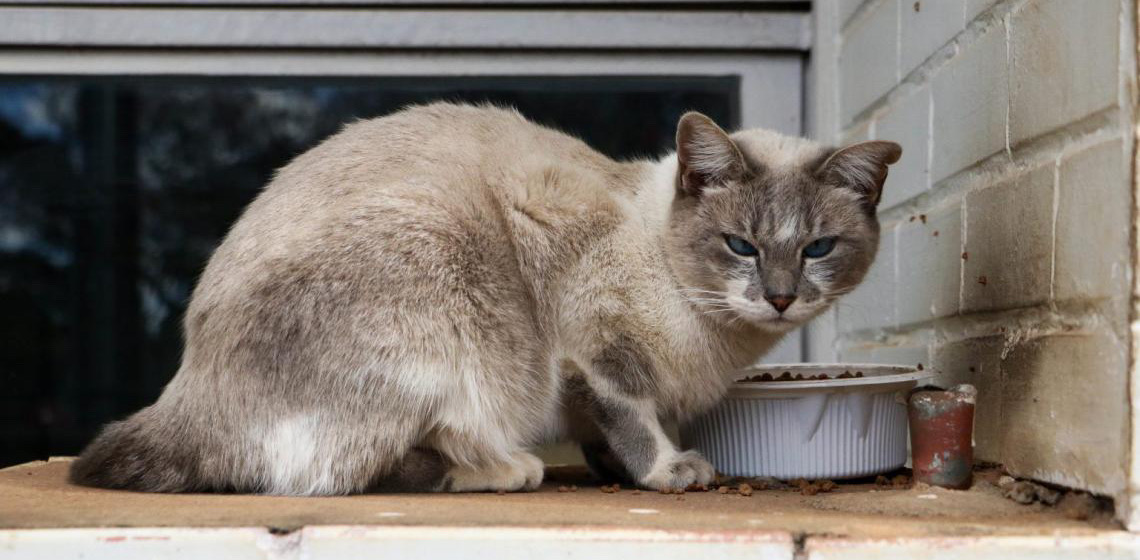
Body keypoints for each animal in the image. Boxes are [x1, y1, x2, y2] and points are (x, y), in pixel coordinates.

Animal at [68, 100, 898, 494]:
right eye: (742, 247)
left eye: (818, 249)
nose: (781, 299)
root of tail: (184, 389)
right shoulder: (596, 347)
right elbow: (634, 417)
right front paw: (667, 472)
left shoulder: (589, 379)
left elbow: (602, 434)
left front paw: (613, 469)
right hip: (438, 276)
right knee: (333, 476)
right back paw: (507, 469)